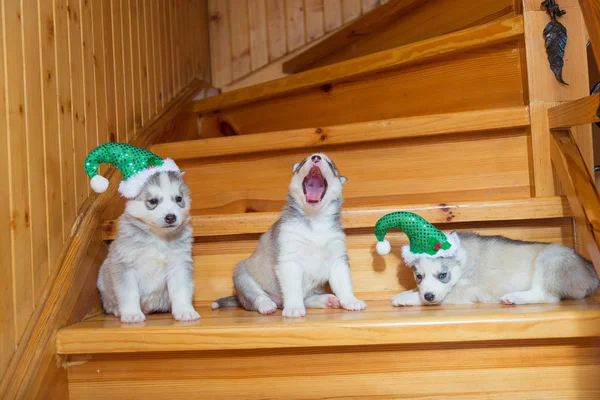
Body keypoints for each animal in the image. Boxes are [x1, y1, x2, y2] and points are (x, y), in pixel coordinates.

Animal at [96, 171, 199, 322]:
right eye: (153, 201)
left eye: (179, 198)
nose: (171, 217)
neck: (158, 236)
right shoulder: (125, 266)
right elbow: (130, 293)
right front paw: (132, 313)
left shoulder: (179, 266)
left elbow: (181, 290)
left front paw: (185, 310)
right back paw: (117, 310)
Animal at [213, 152, 368, 318]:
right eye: (304, 161)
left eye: (330, 164)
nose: (316, 157)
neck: (315, 220)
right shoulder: (289, 260)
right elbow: (293, 289)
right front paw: (294, 308)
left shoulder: (337, 259)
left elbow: (343, 283)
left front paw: (351, 300)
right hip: (242, 274)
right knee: (257, 296)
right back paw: (267, 305)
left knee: (305, 297)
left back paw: (326, 300)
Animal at [372, 212, 596, 306]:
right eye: (419, 276)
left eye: (443, 275)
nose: (428, 295)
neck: (465, 260)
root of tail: (591, 271)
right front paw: (408, 292)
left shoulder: (467, 291)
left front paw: (404, 298)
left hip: (550, 260)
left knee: (546, 296)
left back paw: (513, 297)